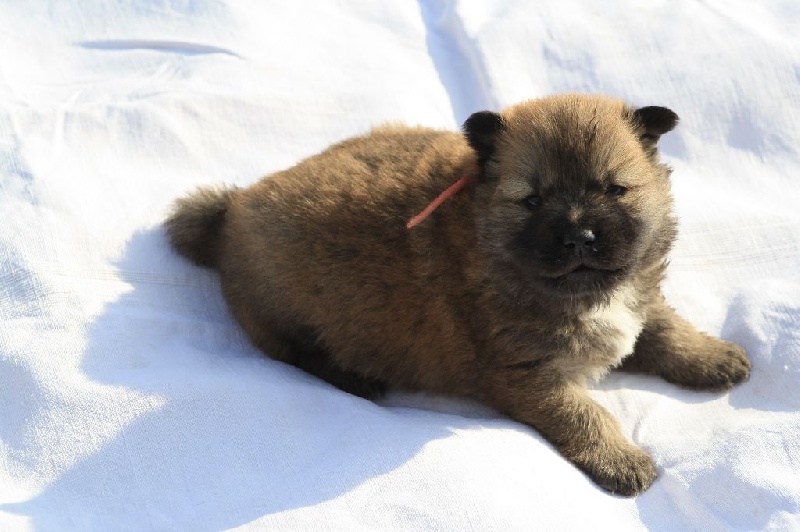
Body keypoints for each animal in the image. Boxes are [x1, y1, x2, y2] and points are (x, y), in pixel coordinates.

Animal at [165, 93, 751, 495]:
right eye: (532, 200)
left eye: (614, 189)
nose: (580, 236)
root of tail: (231, 211)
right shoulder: (524, 372)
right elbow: (584, 413)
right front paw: (622, 460)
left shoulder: (638, 298)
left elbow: (665, 328)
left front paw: (713, 357)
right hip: (286, 313)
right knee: (293, 352)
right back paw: (353, 378)